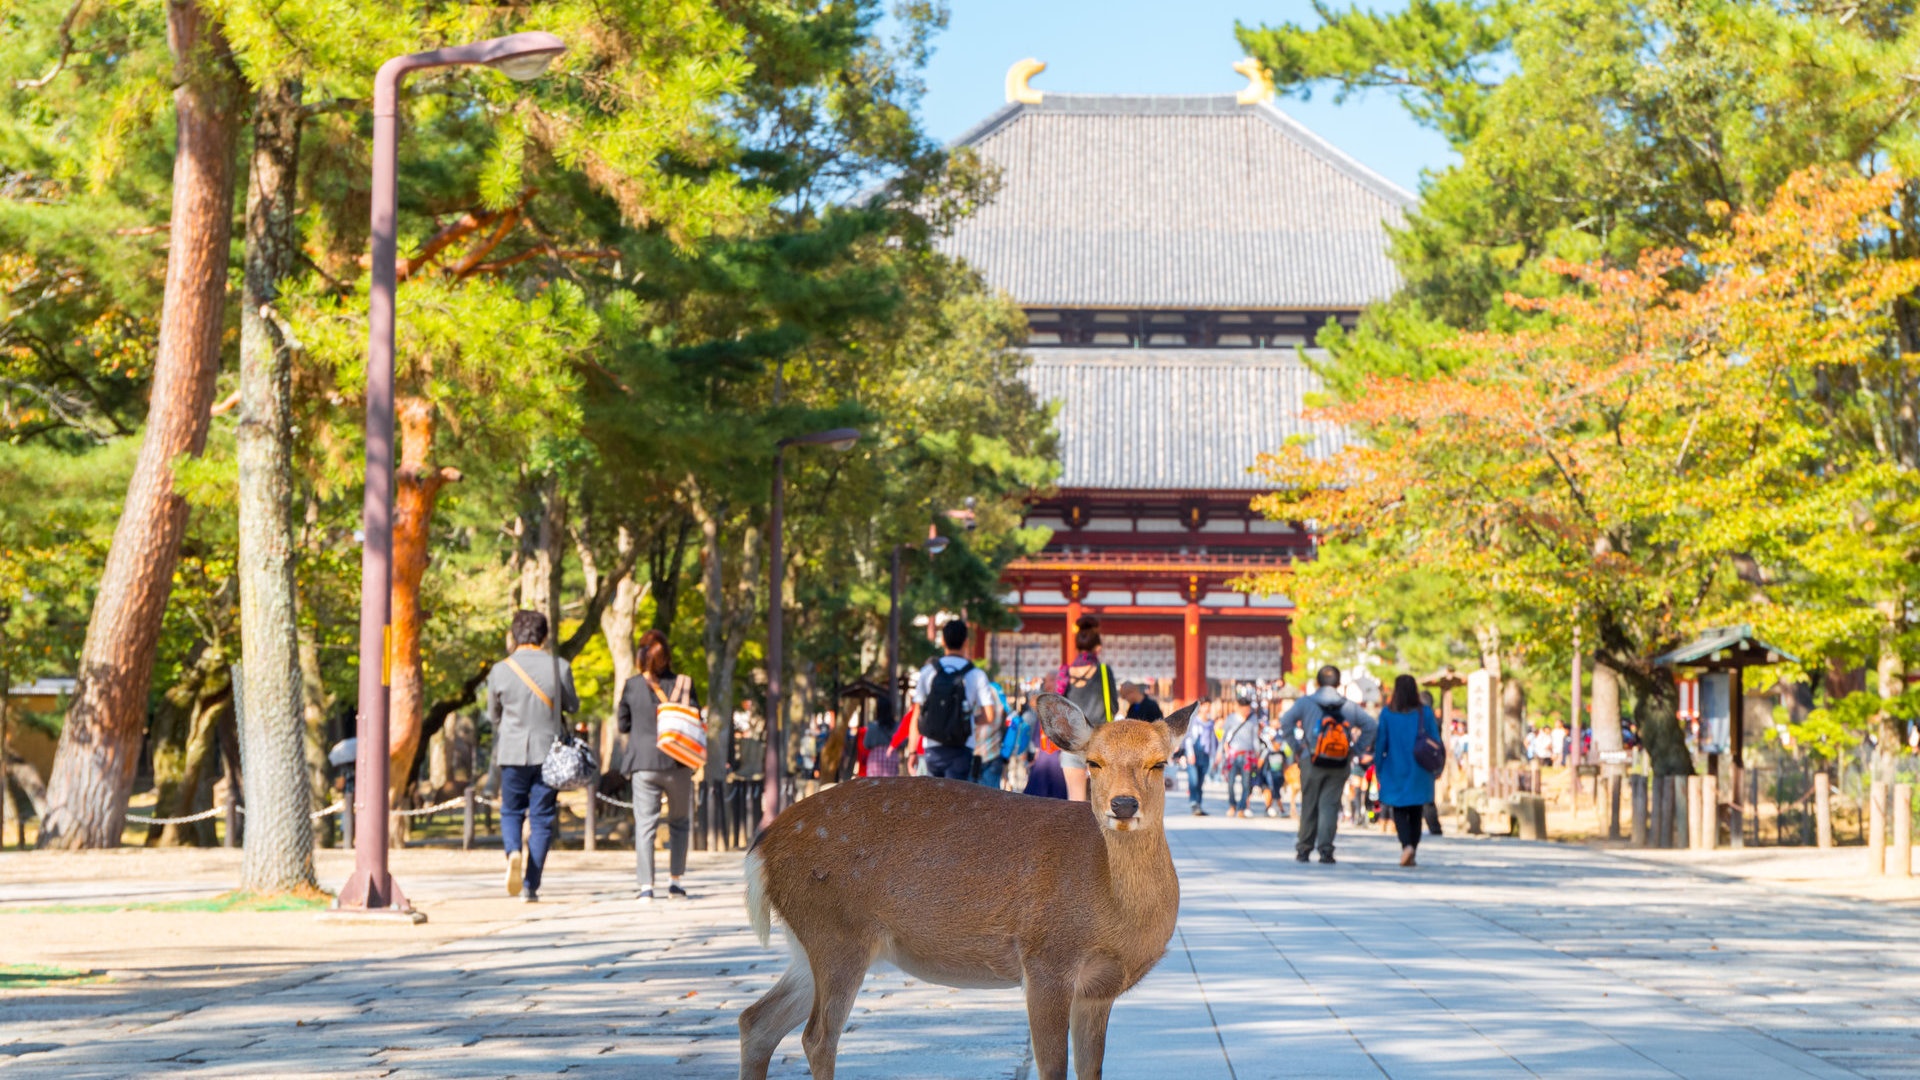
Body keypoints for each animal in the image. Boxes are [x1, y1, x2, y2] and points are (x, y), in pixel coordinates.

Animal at [738, 692, 1197, 1080]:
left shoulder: (1098, 990)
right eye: (1094, 763)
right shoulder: (1046, 959)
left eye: (1159, 763)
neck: (1113, 913)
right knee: (817, 1037)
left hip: (809, 942)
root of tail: (760, 850)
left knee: (756, 1020)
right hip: (835, 930)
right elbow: (1052, 1068)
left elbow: (1093, 1070)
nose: (1123, 804)